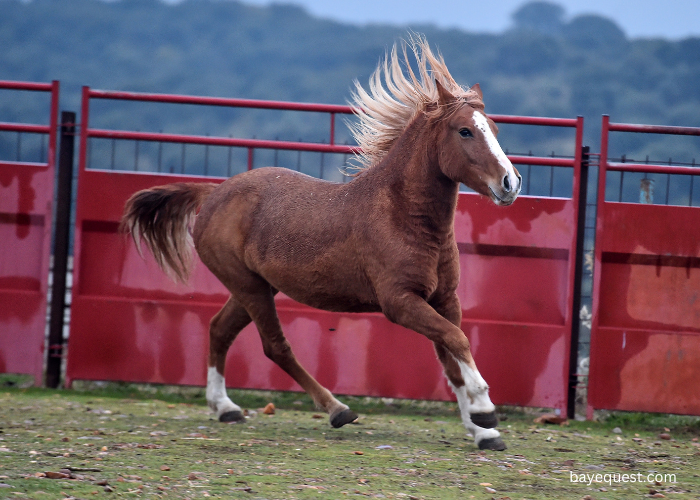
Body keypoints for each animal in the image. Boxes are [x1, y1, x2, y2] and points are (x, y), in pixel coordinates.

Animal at [123, 37, 524, 452]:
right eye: (465, 131)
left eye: (494, 128)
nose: (511, 183)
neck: (403, 216)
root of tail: (214, 192)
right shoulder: (400, 302)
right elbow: (457, 341)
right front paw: (484, 412)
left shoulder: (444, 299)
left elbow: (451, 359)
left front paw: (482, 430)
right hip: (249, 286)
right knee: (274, 345)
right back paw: (336, 409)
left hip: (255, 285)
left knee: (220, 329)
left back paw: (226, 408)